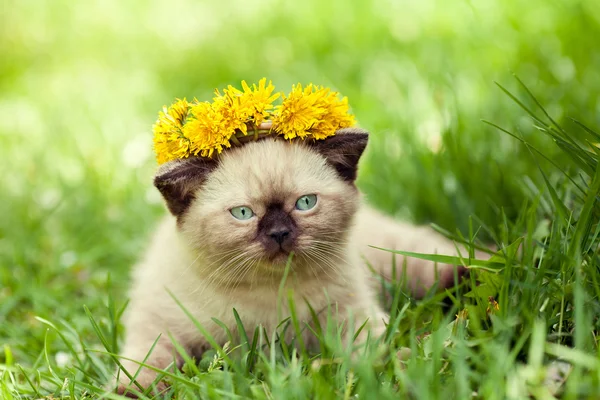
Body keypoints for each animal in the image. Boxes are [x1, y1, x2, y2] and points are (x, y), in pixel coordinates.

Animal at [116, 128, 474, 394]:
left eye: (305, 203)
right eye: (243, 213)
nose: (279, 233)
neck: (269, 294)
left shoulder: (353, 316)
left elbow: (379, 351)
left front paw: (404, 372)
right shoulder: (158, 321)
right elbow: (147, 360)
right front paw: (132, 391)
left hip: (407, 260)